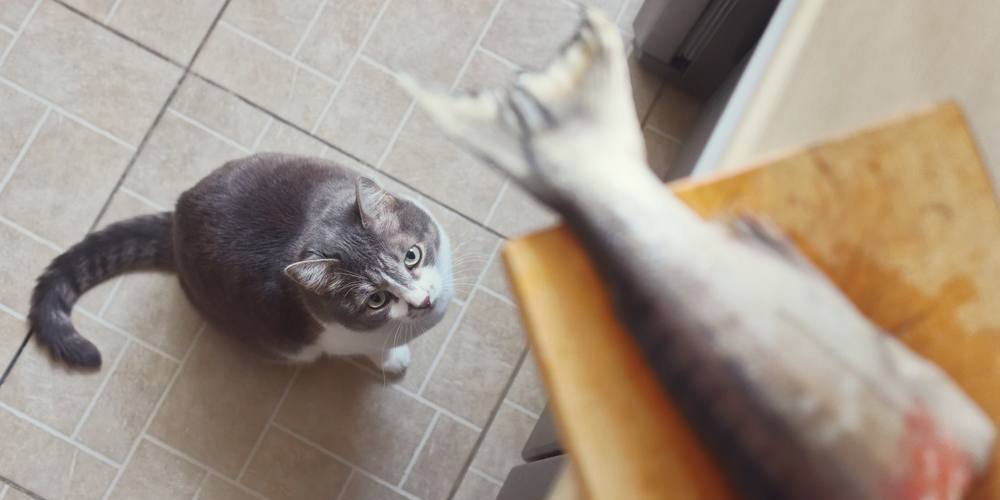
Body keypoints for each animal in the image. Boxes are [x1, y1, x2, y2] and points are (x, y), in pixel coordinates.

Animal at [27, 154, 456, 374]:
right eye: (375, 301)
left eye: (412, 256)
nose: (423, 301)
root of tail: (177, 220)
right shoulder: (344, 338)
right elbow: (378, 350)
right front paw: (394, 360)